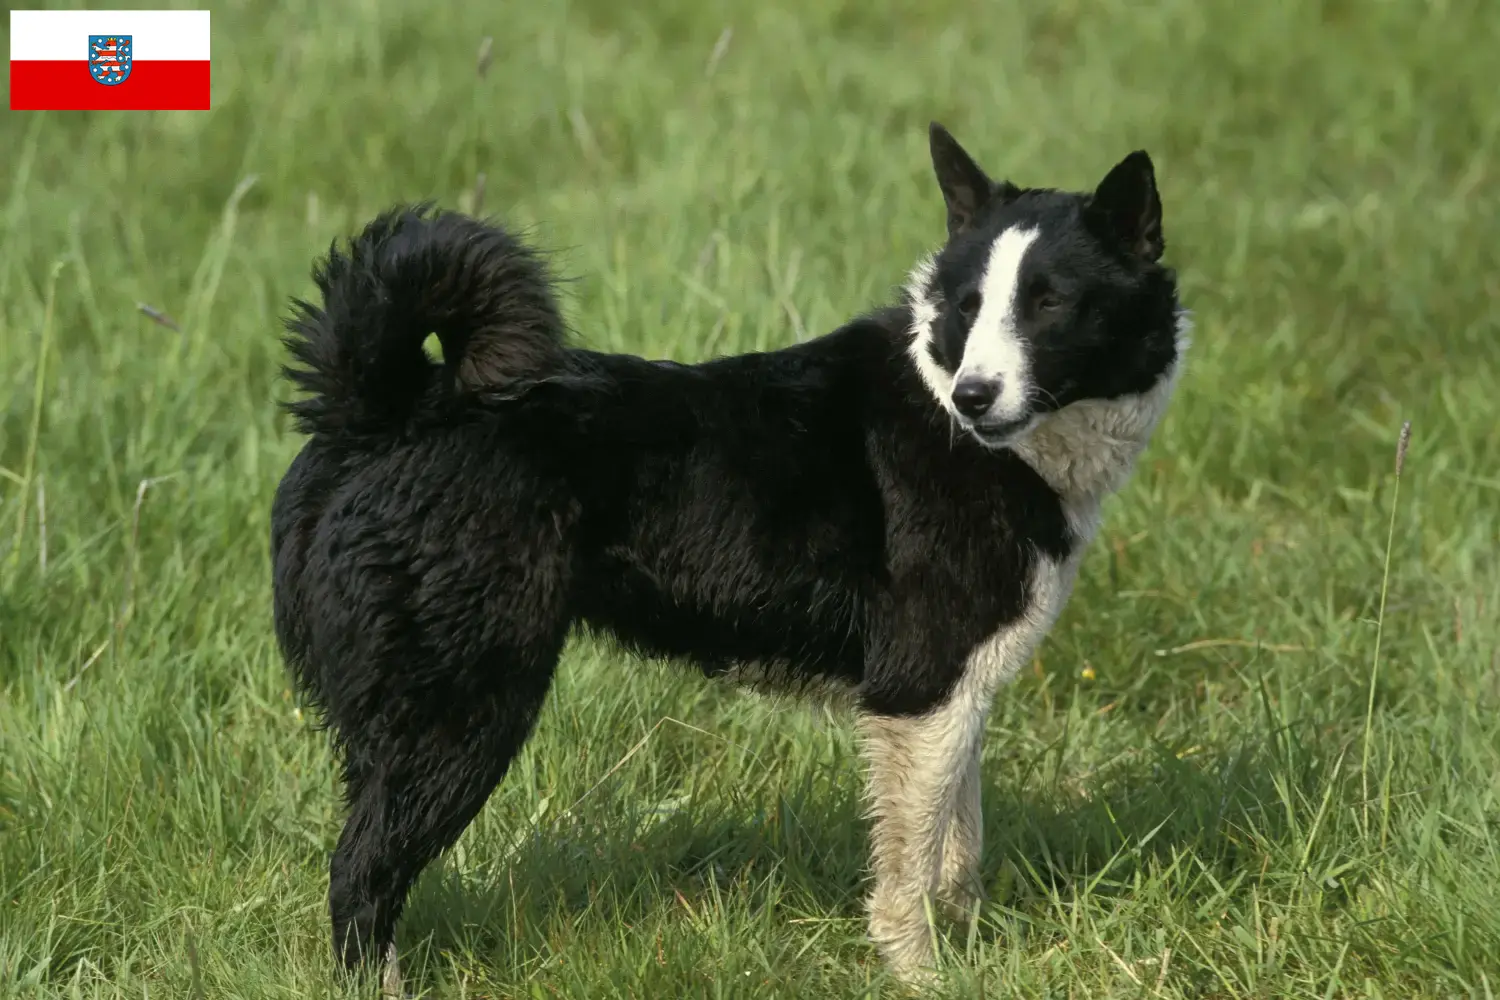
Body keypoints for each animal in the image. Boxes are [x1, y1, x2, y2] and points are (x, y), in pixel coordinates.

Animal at [270, 119, 1182, 983]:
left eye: (1048, 305)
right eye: (967, 306)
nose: (974, 396)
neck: (953, 404)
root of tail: (384, 410)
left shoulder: (958, 696)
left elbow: (957, 847)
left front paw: (970, 949)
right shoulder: (919, 689)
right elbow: (912, 867)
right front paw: (924, 975)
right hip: (461, 708)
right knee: (361, 873)